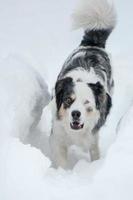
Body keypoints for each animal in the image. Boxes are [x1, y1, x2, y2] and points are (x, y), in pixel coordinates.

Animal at [49, 0, 116, 169]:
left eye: (87, 103)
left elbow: (94, 153)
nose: (75, 114)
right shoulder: (58, 136)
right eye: (68, 100)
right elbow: (61, 161)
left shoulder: (93, 138)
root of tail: (93, 44)